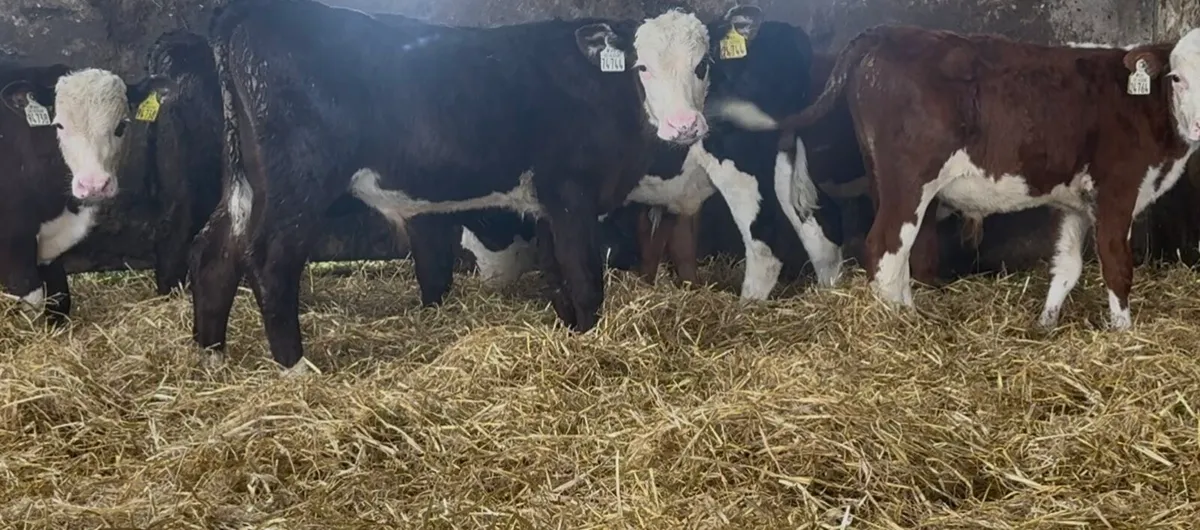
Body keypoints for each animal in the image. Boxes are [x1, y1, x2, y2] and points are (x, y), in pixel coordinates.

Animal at [179, 0, 715, 371]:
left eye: (703, 65)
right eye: (641, 66)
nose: (684, 125)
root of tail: (252, 13)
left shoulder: (546, 205)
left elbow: (557, 276)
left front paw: (569, 334)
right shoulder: (571, 195)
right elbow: (584, 280)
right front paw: (591, 343)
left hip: (247, 183)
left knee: (214, 253)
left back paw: (212, 358)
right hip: (299, 180)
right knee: (270, 260)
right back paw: (296, 369)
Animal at [768, 25, 1200, 330]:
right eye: (1176, 78)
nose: (1198, 125)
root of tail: (886, 33)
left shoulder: (1074, 202)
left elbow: (1067, 267)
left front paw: (1045, 325)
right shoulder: (1116, 192)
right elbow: (1116, 265)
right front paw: (1123, 333)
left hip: (883, 181)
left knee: (902, 252)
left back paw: (910, 315)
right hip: (909, 182)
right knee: (884, 248)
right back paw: (894, 330)